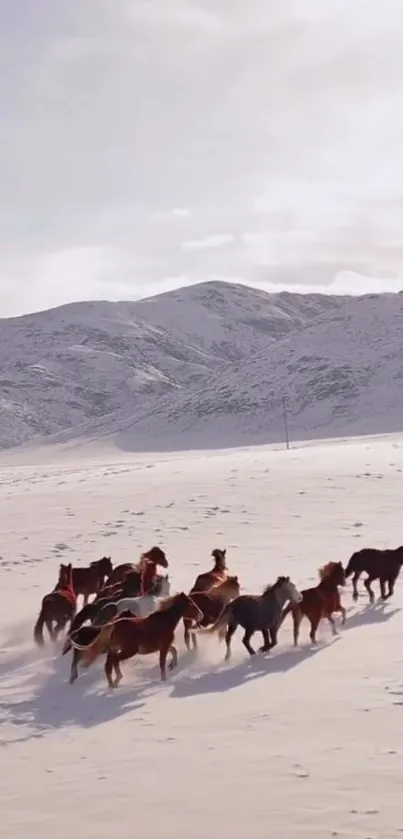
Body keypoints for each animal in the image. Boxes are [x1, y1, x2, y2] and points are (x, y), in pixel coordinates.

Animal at [68, 592, 205, 684]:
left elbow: (174, 650)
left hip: (113, 650)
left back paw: (112, 684)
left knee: (108, 666)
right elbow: (162, 662)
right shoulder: (163, 646)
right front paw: (164, 678)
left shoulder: (163, 645)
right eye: (191, 603)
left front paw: (172, 665)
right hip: (128, 651)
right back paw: (118, 679)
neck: (165, 621)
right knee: (115, 661)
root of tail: (113, 624)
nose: (201, 615)